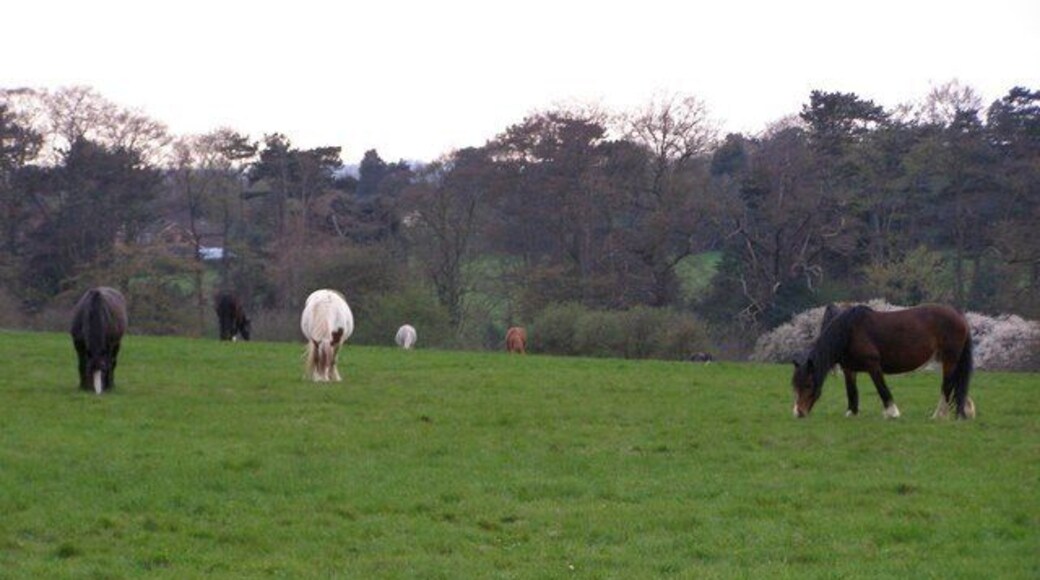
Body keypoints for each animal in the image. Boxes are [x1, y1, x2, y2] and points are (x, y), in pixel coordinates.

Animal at [791, 303, 975, 419]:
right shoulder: (849, 369)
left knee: (947, 386)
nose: (798, 412)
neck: (849, 332)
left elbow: (882, 388)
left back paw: (938, 415)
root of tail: (959, 315)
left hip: (949, 360)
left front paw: (892, 413)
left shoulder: (873, 366)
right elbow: (851, 391)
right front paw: (851, 412)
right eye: (795, 386)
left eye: (808, 385)